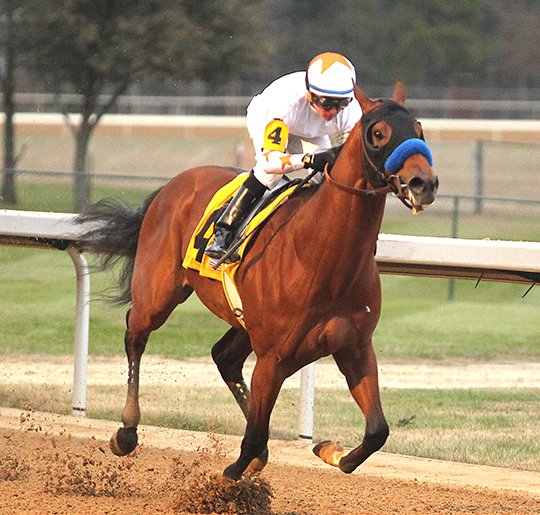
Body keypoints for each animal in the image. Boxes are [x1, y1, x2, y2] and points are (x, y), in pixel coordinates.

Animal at [77, 82, 438, 482]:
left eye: (419, 129)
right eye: (378, 134)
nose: (424, 183)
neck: (319, 253)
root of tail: (172, 185)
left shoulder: (354, 347)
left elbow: (377, 431)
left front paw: (330, 450)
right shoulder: (273, 357)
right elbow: (249, 443)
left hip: (244, 321)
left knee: (224, 357)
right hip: (157, 294)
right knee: (135, 333)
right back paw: (126, 431)